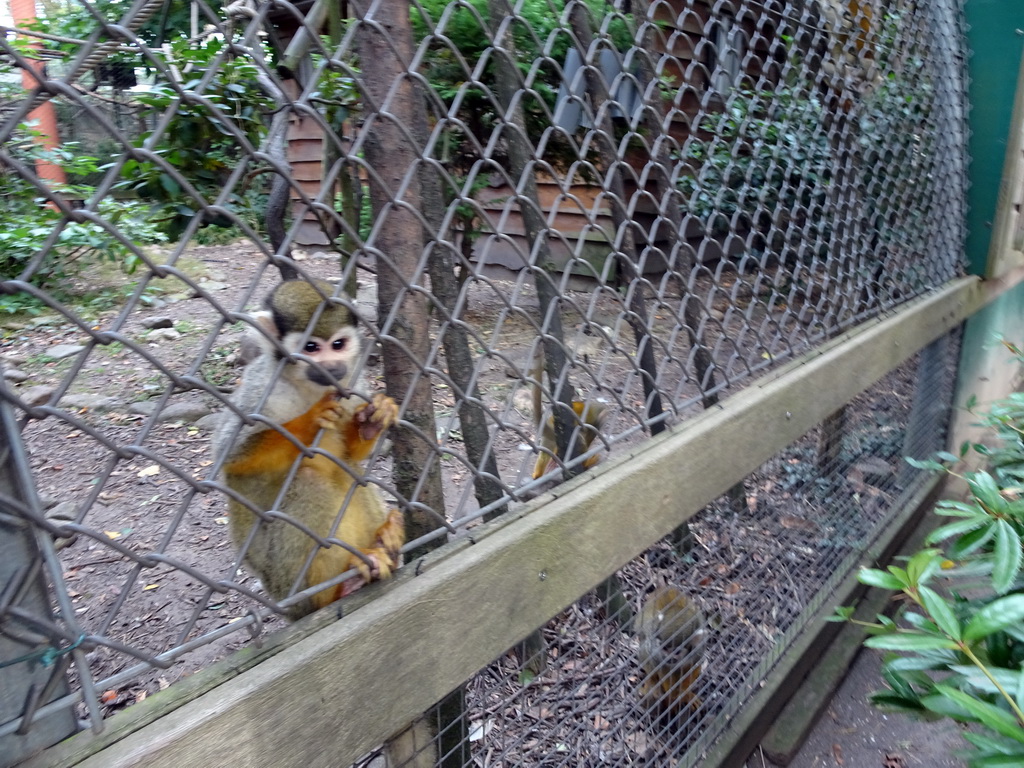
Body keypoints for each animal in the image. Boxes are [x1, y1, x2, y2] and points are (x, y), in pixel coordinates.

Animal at [212, 280, 403, 622]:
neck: (307, 386)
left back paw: (383, 542)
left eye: (338, 344)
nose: (332, 366)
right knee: (309, 480)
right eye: (311, 348)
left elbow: (352, 453)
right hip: (287, 584)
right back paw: (339, 590)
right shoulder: (261, 388)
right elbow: (231, 455)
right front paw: (310, 420)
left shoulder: (351, 384)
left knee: (350, 472)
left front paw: (373, 420)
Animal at [630, 585, 704, 724]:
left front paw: (684, 694)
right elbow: (659, 664)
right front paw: (670, 698)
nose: (669, 658)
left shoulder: (698, 649)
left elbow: (692, 665)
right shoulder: (656, 648)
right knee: (646, 649)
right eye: (664, 648)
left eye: (676, 651)